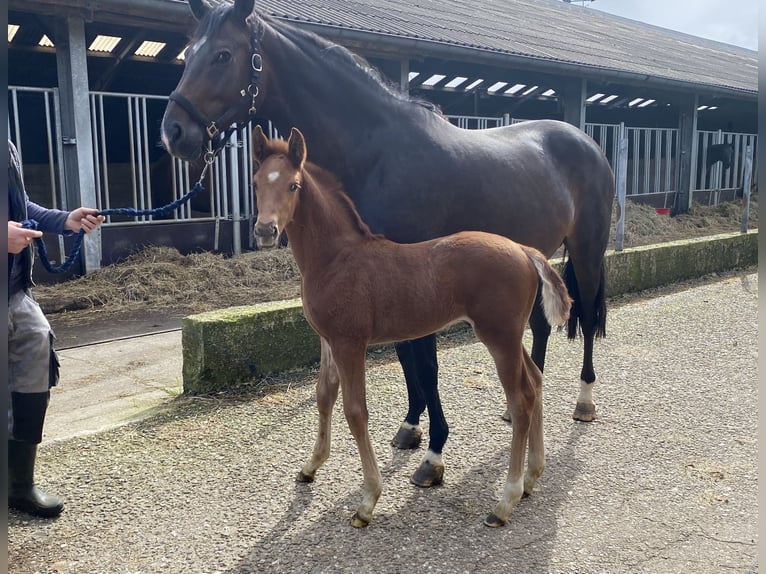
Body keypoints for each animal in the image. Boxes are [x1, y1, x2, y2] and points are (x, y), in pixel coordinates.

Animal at [162, 0, 616, 476]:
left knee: (586, 316)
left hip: (586, 250)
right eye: (188, 53)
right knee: (540, 326)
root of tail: (587, 141)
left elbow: (426, 362)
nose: (173, 132)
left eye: (223, 55)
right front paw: (411, 427)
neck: (378, 150)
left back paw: (584, 401)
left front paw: (434, 453)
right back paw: (517, 411)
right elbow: (405, 356)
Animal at [249, 127, 572, 532]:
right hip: (511, 337)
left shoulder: (349, 342)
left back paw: (504, 502)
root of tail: (523, 250)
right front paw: (311, 466)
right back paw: (531, 477)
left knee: (521, 398)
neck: (336, 258)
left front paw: (368, 500)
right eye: (256, 181)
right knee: (536, 380)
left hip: (499, 337)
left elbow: (355, 411)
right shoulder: (327, 340)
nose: (264, 230)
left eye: (293, 185)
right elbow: (324, 396)